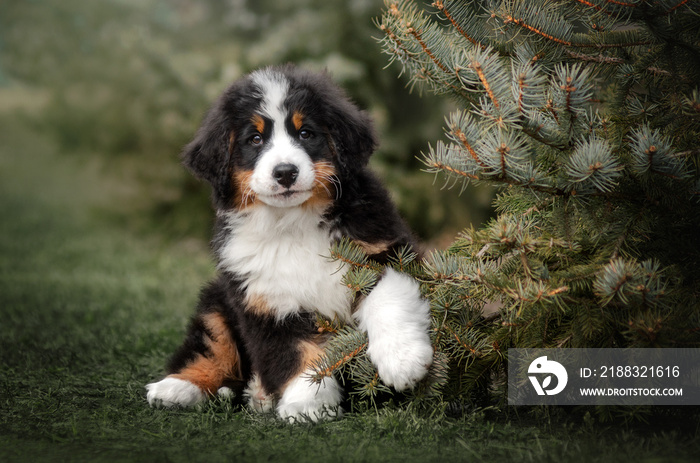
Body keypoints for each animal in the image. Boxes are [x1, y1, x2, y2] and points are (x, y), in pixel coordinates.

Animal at [147, 65, 432, 424]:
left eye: (306, 133)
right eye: (255, 139)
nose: (285, 172)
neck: (294, 223)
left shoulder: (384, 250)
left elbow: (388, 298)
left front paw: (403, 360)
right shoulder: (266, 301)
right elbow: (297, 354)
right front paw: (307, 403)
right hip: (216, 301)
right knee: (211, 347)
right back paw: (175, 388)